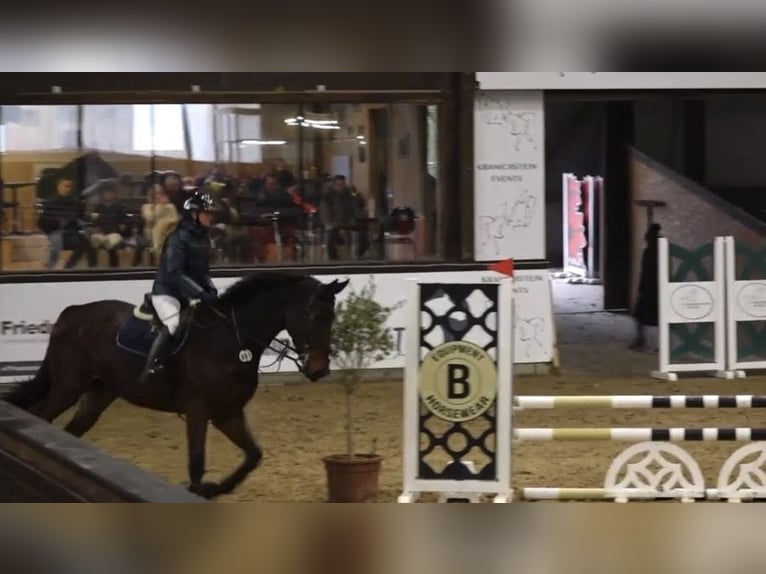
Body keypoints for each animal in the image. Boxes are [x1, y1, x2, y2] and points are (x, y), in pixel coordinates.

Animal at [1, 272, 349, 499]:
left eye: (332, 316)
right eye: (312, 313)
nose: (319, 370)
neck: (231, 340)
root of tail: (72, 314)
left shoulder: (228, 413)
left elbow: (253, 455)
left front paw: (216, 489)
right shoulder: (198, 412)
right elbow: (196, 461)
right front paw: (199, 490)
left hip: (98, 394)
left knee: (69, 431)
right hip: (68, 387)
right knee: (41, 417)